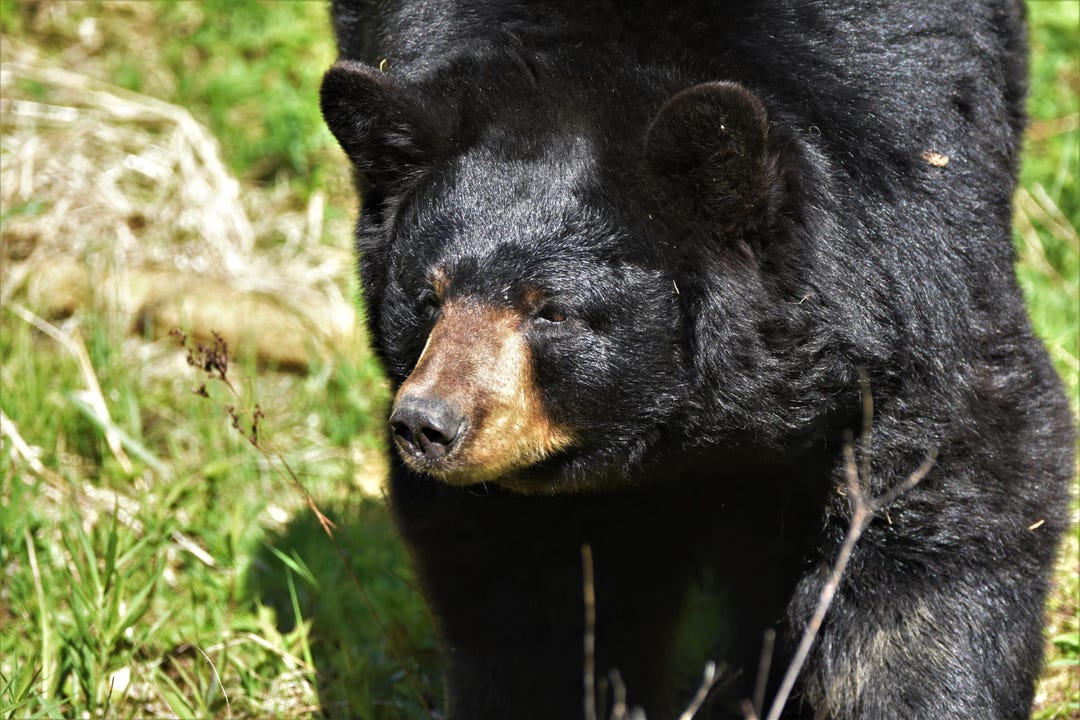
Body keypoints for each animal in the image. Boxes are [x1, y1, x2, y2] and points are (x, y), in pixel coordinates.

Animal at [319, 1, 1074, 718]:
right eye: (429, 296)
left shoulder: (909, 272)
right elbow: (521, 589)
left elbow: (950, 507)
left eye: (551, 310)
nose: (427, 423)